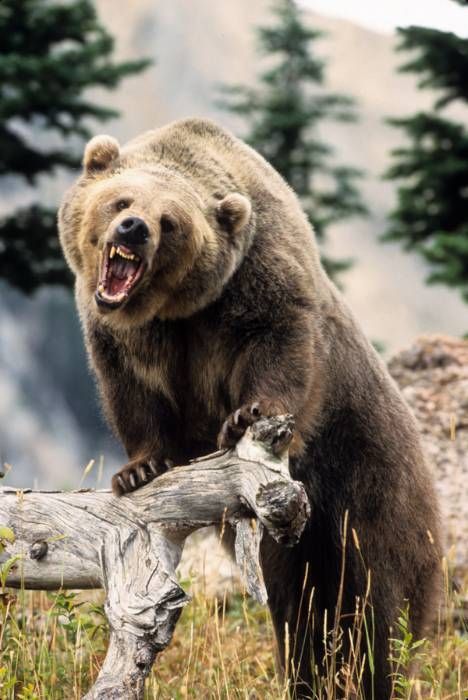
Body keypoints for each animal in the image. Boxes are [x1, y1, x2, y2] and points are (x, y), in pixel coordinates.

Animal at [58, 117, 442, 696]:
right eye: (121, 199)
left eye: (170, 222)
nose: (133, 229)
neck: (178, 310)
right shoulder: (124, 337)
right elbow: (132, 394)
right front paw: (139, 469)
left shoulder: (256, 281)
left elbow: (280, 339)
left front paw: (245, 415)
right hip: (284, 546)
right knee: (301, 612)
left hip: (370, 484)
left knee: (377, 604)